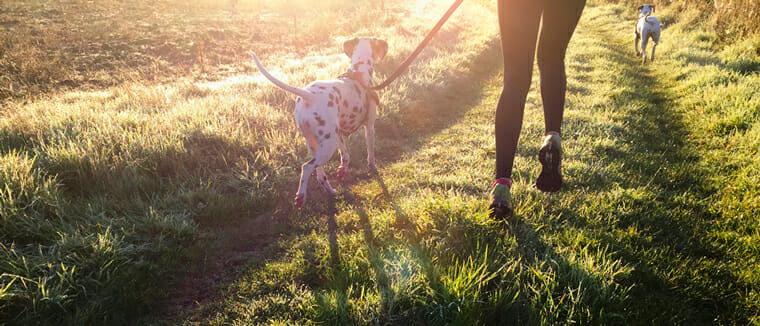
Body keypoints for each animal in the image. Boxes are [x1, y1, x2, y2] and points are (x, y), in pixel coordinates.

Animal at [252, 37, 388, 208]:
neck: (359, 70)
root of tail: (309, 95)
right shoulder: (369, 128)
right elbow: (370, 154)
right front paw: (373, 168)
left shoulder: (339, 134)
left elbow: (345, 155)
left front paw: (342, 170)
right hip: (326, 148)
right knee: (306, 167)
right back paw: (301, 196)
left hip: (318, 143)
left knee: (319, 175)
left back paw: (331, 191)